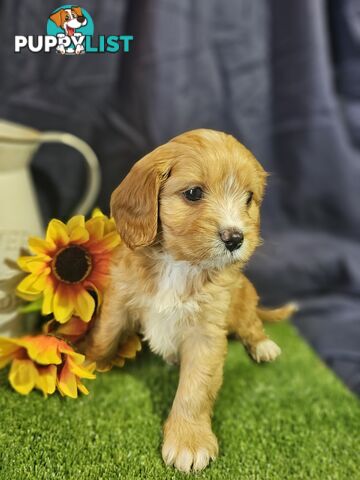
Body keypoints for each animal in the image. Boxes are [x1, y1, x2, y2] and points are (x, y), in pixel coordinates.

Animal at [83, 129, 296, 474]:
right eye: (194, 193)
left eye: (248, 198)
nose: (236, 238)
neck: (178, 265)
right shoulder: (120, 300)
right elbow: (105, 335)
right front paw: (86, 360)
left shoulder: (205, 333)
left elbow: (194, 389)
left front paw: (189, 441)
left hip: (243, 301)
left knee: (252, 325)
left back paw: (263, 346)